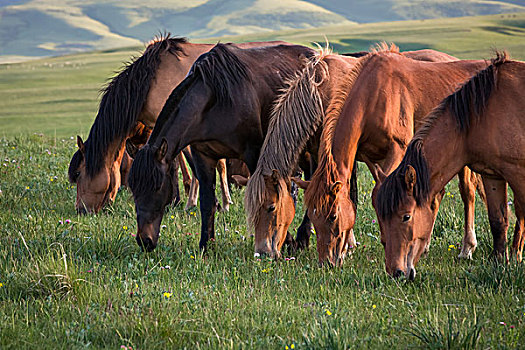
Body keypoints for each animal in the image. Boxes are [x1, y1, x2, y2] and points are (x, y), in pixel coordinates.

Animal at [126, 43, 320, 252]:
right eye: (133, 189)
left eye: (157, 186)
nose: (145, 241)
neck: (214, 101)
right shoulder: (203, 157)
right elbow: (207, 202)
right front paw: (206, 245)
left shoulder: (254, 153)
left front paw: (288, 242)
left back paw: (303, 237)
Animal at [239, 44, 486, 260]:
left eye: (271, 207)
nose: (262, 253)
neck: (320, 93)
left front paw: (348, 246)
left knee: (467, 193)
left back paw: (467, 248)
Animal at [376, 52, 524, 278]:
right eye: (381, 218)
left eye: (406, 216)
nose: (396, 272)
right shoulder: (492, 175)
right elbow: (498, 221)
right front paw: (499, 263)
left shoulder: (518, 172)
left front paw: (515, 258)